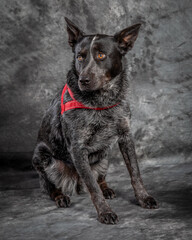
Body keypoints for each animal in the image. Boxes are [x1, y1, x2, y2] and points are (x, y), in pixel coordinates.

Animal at [32, 17, 158, 225]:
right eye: (80, 57)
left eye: (101, 55)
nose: (83, 80)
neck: (102, 101)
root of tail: (75, 182)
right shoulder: (78, 148)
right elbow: (92, 187)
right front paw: (105, 212)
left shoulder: (126, 136)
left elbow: (135, 172)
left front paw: (143, 198)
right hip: (43, 158)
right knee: (51, 186)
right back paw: (60, 196)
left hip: (104, 156)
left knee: (99, 177)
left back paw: (106, 188)